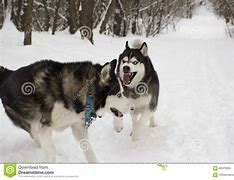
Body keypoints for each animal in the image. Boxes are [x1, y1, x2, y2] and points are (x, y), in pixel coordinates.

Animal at [0, 59, 132, 162]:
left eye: (123, 92)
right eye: (119, 94)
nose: (132, 108)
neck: (84, 92)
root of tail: (7, 73)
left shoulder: (77, 125)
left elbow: (89, 151)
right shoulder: (44, 127)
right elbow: (51, 151)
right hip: (31, 123)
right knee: (37, 137)